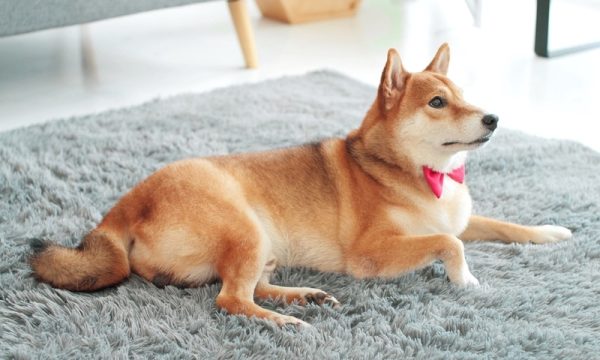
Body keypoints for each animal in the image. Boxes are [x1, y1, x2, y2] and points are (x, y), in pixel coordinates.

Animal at [29, 44, 572, 326]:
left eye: (463, 94)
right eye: (437, 102)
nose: (493, 118)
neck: (419, 174)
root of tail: (124, 207)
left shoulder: (462, 217)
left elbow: (502, 225)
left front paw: (551, 232)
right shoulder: (371, 254)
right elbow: (450, 243)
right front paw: (466, 280)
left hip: (263, 244)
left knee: (252, 286)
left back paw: (302, 297)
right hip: (245, 228)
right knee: (231, 300)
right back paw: (288, 322)